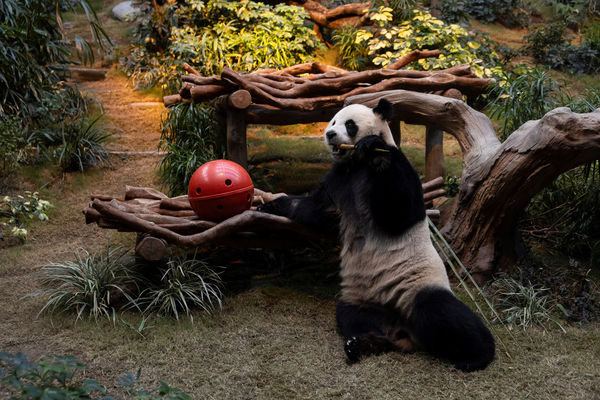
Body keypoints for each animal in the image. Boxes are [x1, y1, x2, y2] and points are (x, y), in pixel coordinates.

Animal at [260, 97, 494, 372]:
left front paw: (374, 150)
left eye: (349, 125)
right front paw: (271, 205)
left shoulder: (399, 166)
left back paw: (478, 355)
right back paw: (364, 343)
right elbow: (314, 210)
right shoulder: (338, 178)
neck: (355, 163)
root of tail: (403, 329)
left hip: (418, 287)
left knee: (443, 313)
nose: (329, 135)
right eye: (332, 121)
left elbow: (401, 209)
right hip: (360, 298)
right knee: (352, 316)